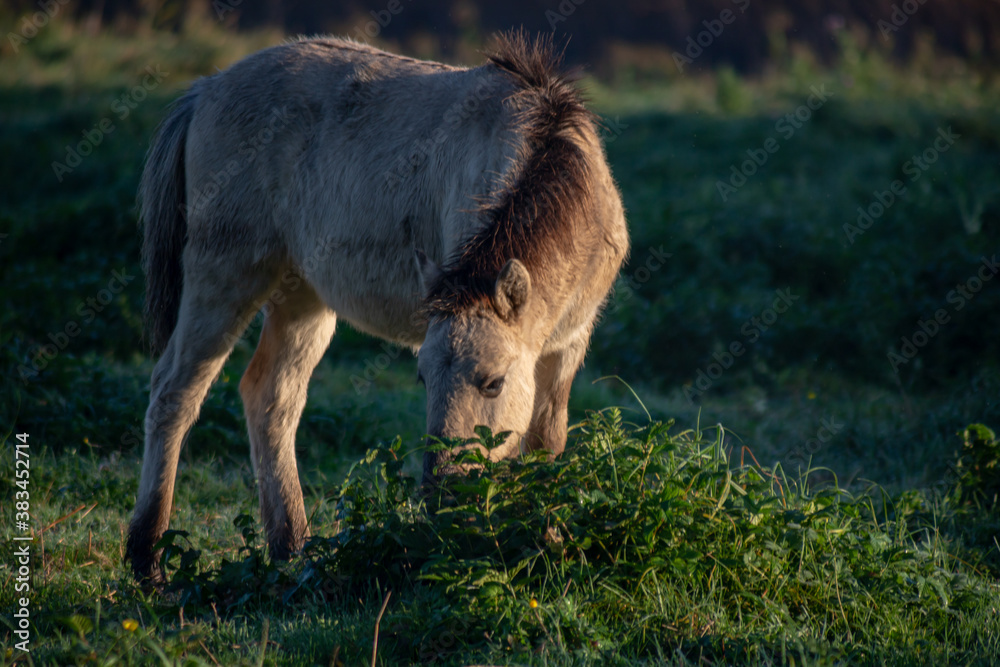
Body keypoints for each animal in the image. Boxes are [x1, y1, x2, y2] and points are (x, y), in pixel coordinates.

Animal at [126, 31, 629, 582]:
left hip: (303, 296)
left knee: (270, 398)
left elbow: (545, 442)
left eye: (493, 383)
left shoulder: (566, 345)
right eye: (422, 380)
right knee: (175, 392)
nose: (443, 496)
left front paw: (546, 544)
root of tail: (206, 90)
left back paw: (292, 549)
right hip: (225, 273)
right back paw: (147, 560)